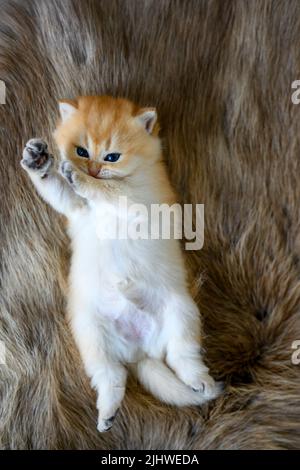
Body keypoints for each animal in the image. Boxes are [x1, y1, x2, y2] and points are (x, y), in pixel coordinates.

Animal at [20, 96, 218, 434]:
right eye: (81, 151)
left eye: (112, 157)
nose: (92, 168)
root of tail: (141, 352)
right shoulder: (77, 208)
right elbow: (58, 189)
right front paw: (39, 162)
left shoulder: (139, 198)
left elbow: (111, 189)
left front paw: (80, 178)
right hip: (90, 334)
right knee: (112, 376)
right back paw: (107, 413)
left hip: (182, 312)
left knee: (183, 357)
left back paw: (200, 383)